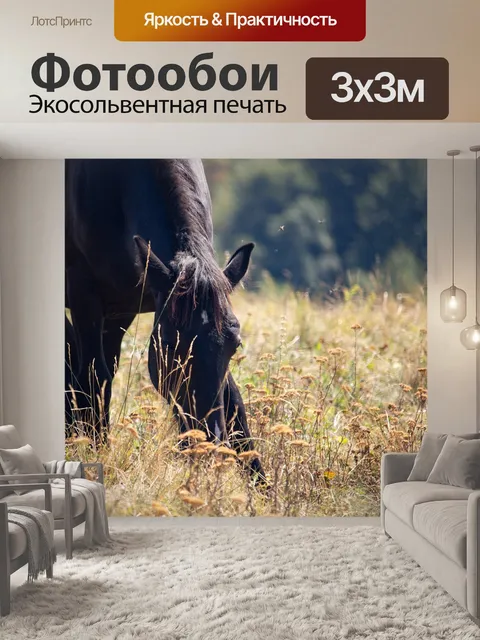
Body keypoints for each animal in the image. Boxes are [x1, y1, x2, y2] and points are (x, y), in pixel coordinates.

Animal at [65, 159, 264, 481]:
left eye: (234, 344)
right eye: (169, 345)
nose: (206, 443)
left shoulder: (122, 309)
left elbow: (233, 397)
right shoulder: (84, 292)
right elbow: (95, 377)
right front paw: (96, 455)